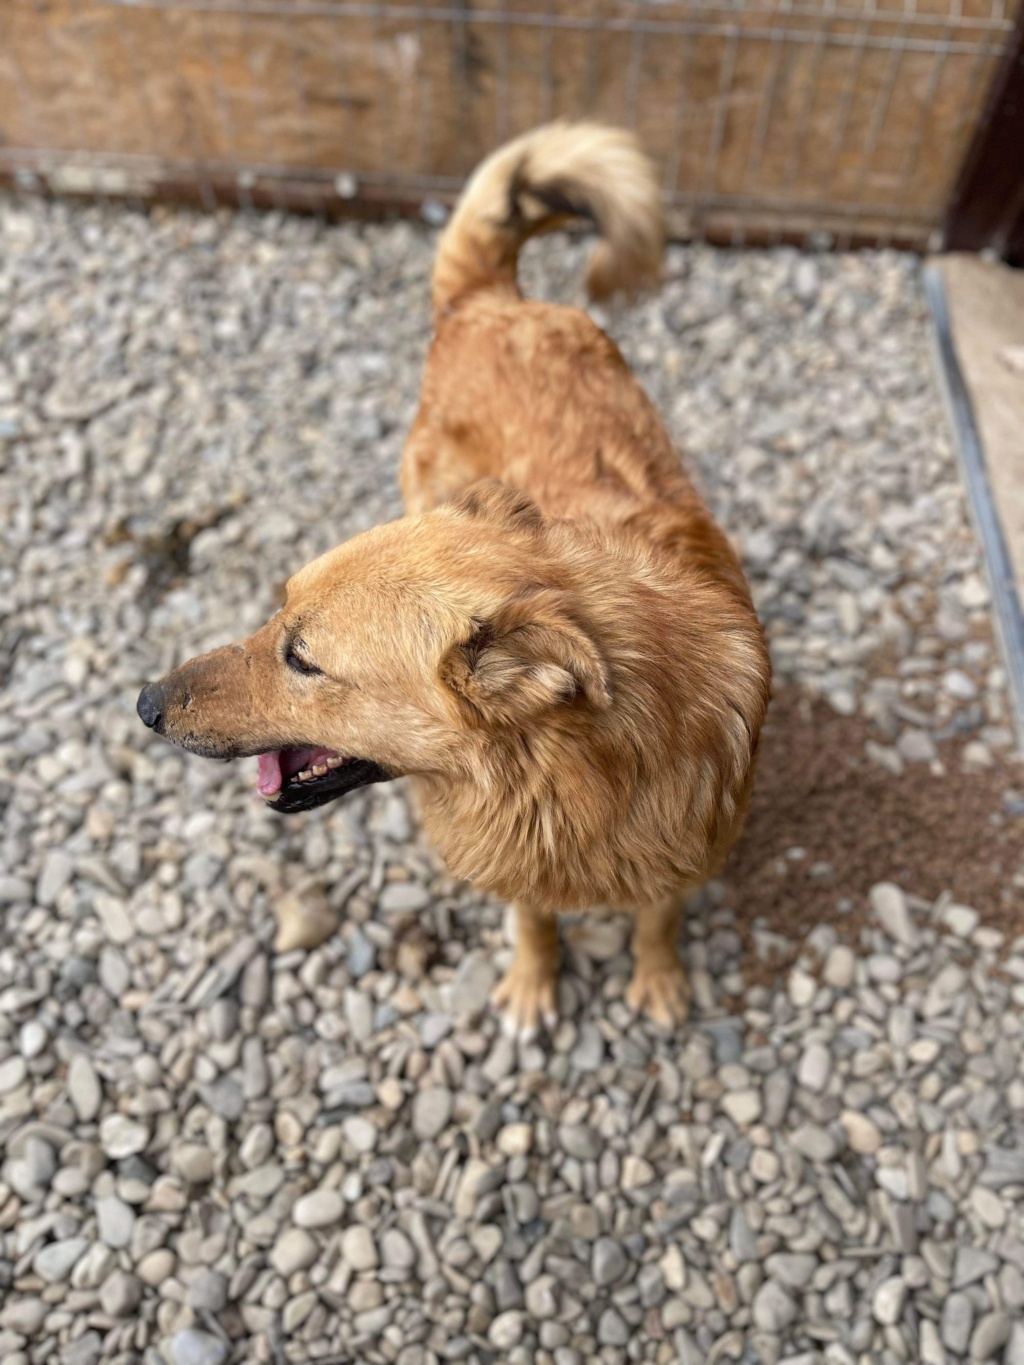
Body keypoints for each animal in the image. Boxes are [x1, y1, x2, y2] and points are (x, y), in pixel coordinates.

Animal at [140, 120, 775, 1031]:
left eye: (303, 659)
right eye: (275, 614)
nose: (145, 704)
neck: (577, 774)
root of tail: (488, 302)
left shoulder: (690, 850)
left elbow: (658, 917)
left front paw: (657, 977)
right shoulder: (518, 855)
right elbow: (533, 914)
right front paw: (534, 980)